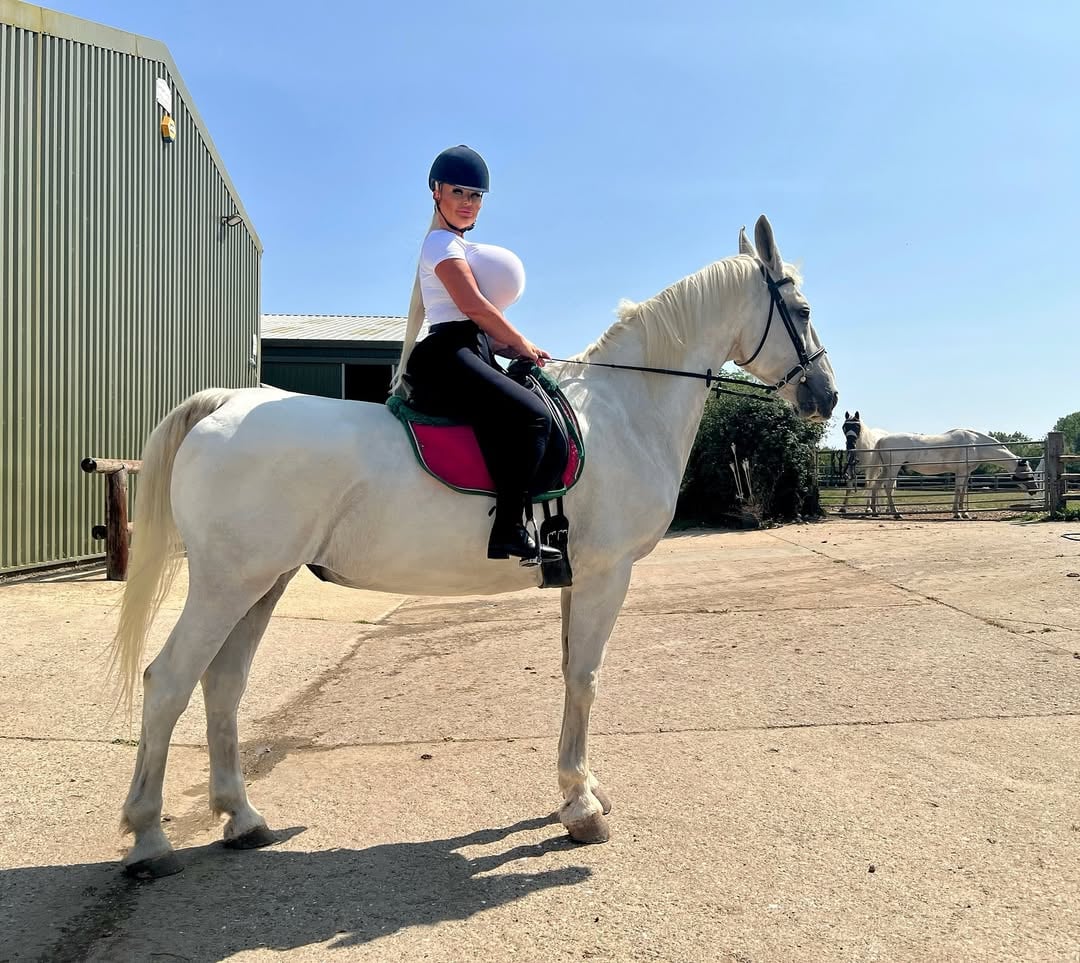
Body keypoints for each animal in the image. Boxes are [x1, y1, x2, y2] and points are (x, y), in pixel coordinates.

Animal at [110, 215, 838, 878]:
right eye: (800, 309)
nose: (826, 396)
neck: (622, 409)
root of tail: (226, 404)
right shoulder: (606, 575)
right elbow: (586, 677)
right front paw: (581, 808)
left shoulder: (577, 578)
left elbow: (571, 675)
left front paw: (578, 790)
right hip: (226, 583)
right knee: (168, 681)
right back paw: (149, 838)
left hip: (262, 583)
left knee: (223, 683)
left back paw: (242, 817)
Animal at [870, 429, 1037, 519]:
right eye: (1028, 473)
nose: (1034, 490)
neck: (975, 445)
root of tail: (882, 439)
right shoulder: (961, 472)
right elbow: (958, 490)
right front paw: (957, 513)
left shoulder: (966, 473)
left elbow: (963, 491)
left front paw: (964, 514)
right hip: (893, 468)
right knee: (887, 487)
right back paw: (896, 514)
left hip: (886, 469)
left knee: (876, 485)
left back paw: (874, 512)